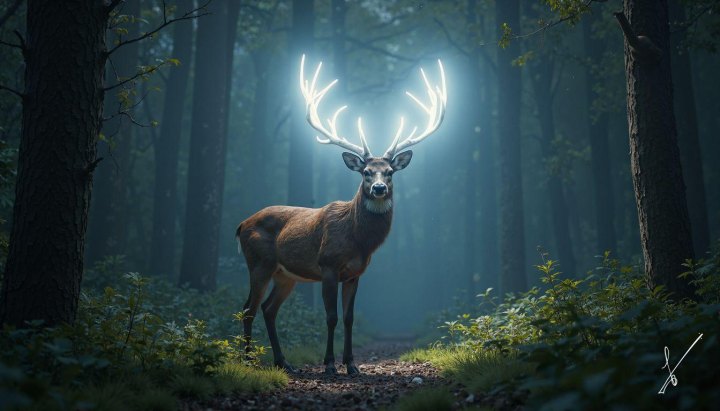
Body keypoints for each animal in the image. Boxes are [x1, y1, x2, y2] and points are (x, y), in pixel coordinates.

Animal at [236, 55, 447, 375]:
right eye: (366, 172)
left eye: (390, 171)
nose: (379, 188)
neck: (358, 241)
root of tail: (240, 225)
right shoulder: (328, 265)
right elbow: (331, 316)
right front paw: (330, 365)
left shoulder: (355, 273)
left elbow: (349, 318)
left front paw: (352, 365)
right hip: (259, 262)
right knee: (247, 308)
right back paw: (248, 361)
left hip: (285, 274)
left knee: (267, 309)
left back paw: (283, 362)